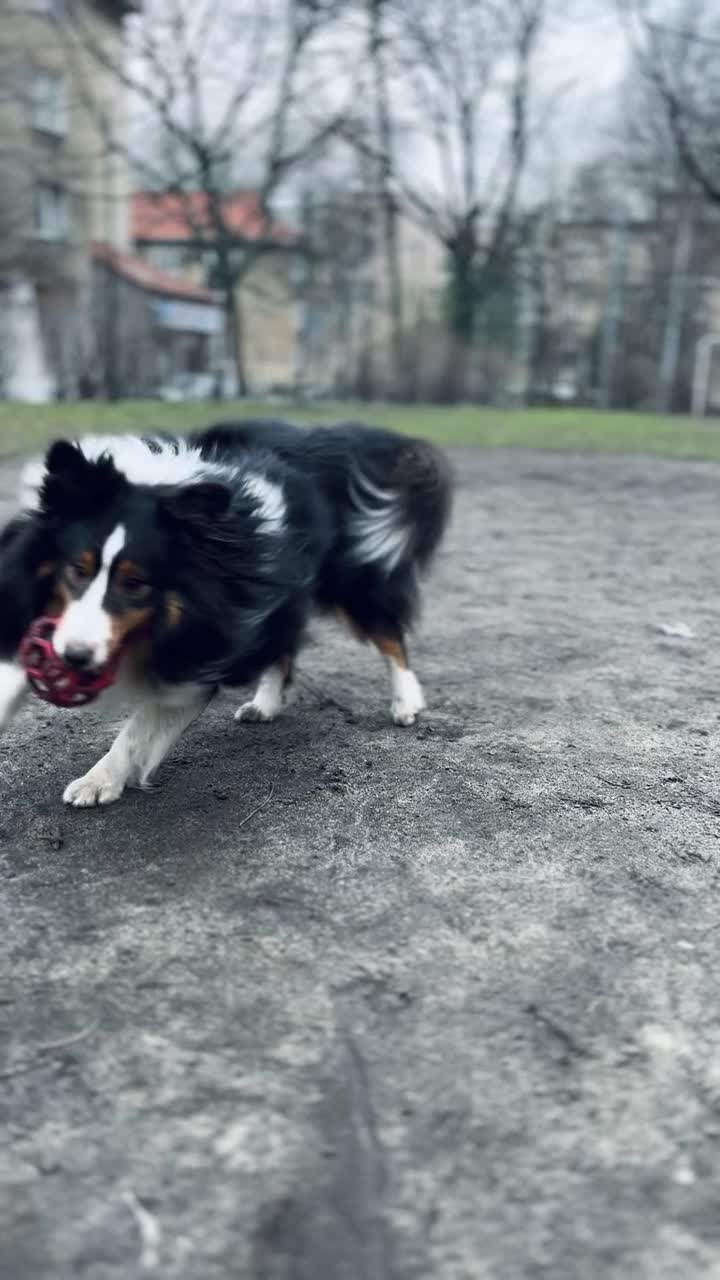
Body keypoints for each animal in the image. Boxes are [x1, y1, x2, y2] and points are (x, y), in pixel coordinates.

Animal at [0, 422, 450, 808]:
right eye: (77, 569)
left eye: (136, 584)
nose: (74, 658)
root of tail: (326, 440)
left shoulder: (206, 644)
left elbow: (140, 727)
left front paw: (97, 782)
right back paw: (265, 704)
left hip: (347, 576)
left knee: (387, 631)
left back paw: (406, 702)